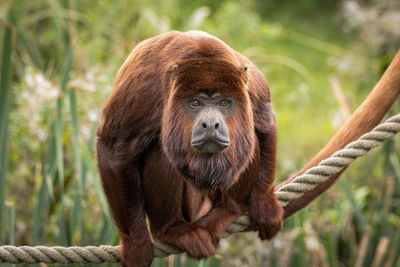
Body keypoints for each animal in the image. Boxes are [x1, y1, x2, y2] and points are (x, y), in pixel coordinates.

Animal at [96, 30, 282, 267]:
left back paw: (229, 209)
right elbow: (115, 148)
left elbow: (266, 125)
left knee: (251, 142)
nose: (211, 124)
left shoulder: (253, 87)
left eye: (224, 103)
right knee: (161, 152)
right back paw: (173, 230)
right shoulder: (144, 92)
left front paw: (264, 204)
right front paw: (135, 244)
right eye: (194, 103)